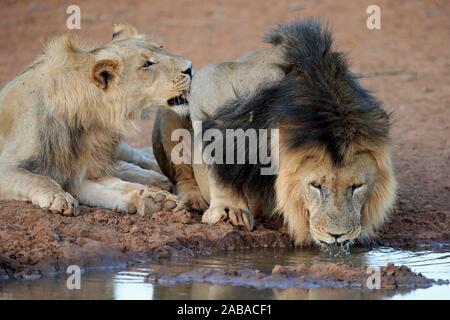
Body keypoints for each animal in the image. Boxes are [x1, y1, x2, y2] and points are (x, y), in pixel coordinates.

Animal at [0, 23, 192, 216]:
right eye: (146, 64)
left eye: (161, 48)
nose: (190, 67)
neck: (91, 123)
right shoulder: (9, 166)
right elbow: (39, 179)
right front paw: (59, 197)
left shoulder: (79, 172)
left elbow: (117, 186)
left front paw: (159, 201)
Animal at [152, 20, 398, 245]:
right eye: (316, 186)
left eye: (356, 186)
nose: (337, 236)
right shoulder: (211, 81)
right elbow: (218, 154)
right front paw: (230, 209)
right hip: (173, 109)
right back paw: (190, 199)